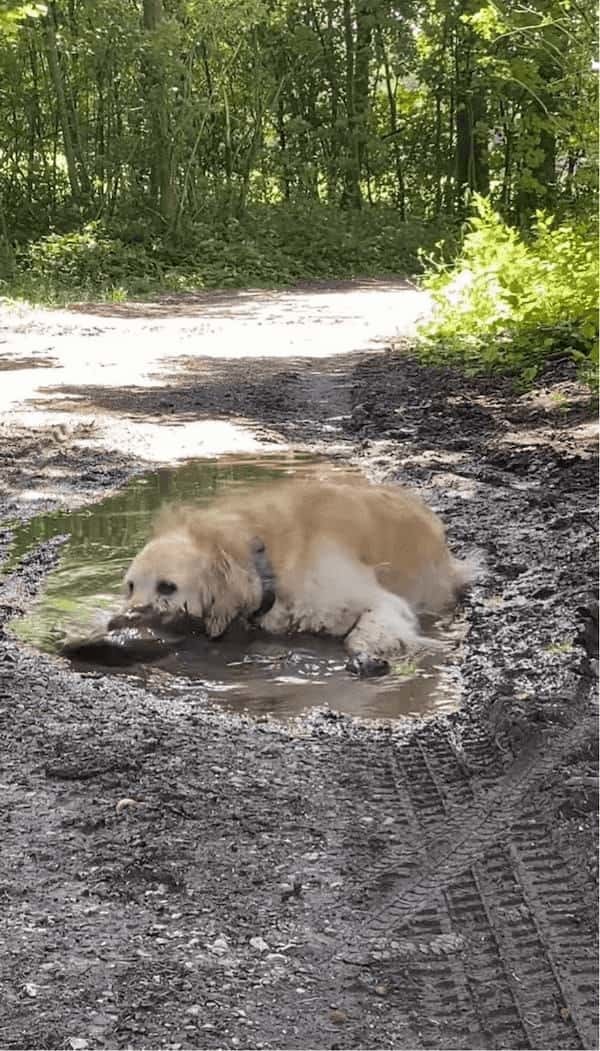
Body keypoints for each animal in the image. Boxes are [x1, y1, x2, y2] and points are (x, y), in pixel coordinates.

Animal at [111, 481, 474, 676]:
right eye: (130, 587)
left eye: (167, 587)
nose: (118, 623)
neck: (266, 566)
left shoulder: (383, 603)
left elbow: (358, 637)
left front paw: (369, 660)